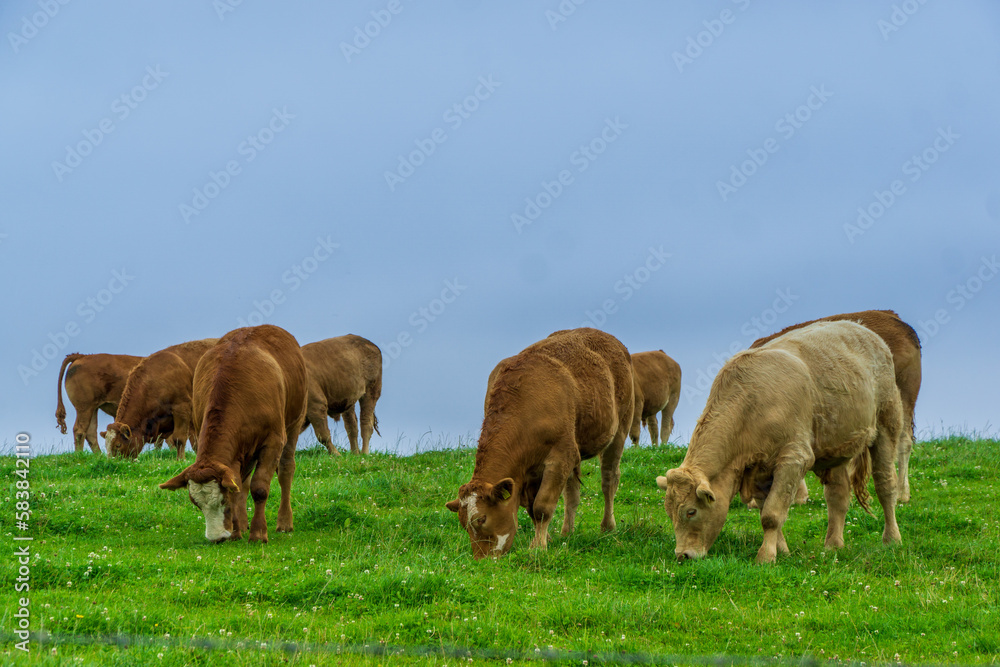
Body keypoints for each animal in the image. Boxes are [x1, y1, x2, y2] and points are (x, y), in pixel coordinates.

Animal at [158, 326, 306, 544]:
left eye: (222, 501)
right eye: (196, 504)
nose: (216, 537)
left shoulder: (272, 442)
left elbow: (259, 487)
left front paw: (258, 533)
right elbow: (238, 486)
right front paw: (236, 531)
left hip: (294, 423)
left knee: (286, 470)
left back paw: (284, 522)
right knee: (243, 482)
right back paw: (242, 524)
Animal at [446, 328, 632, 560]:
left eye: (482, 519)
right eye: (464, 524)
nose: (482, 559)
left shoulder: (561, 455)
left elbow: (542, 506)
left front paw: (538, 547)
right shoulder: (533, 470)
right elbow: (532, 508)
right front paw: (546, 539)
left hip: (620, 429)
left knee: (609, 480)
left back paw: (607, 526)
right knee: (572, 493)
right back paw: (567, 532)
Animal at [660, 322, 904, 564]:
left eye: (691, 511)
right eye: (669, 512)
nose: (683, 555)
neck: (752, 403)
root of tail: (864, 330)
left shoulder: (794, 459)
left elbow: (772, 514)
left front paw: (766, 556)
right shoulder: (759, 470)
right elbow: (765, 510)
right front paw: (782, 550)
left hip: (887, 425)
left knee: (885, 485)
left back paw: (892, 539)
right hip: (835, 448)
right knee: (838, 495)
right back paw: (833, 545)